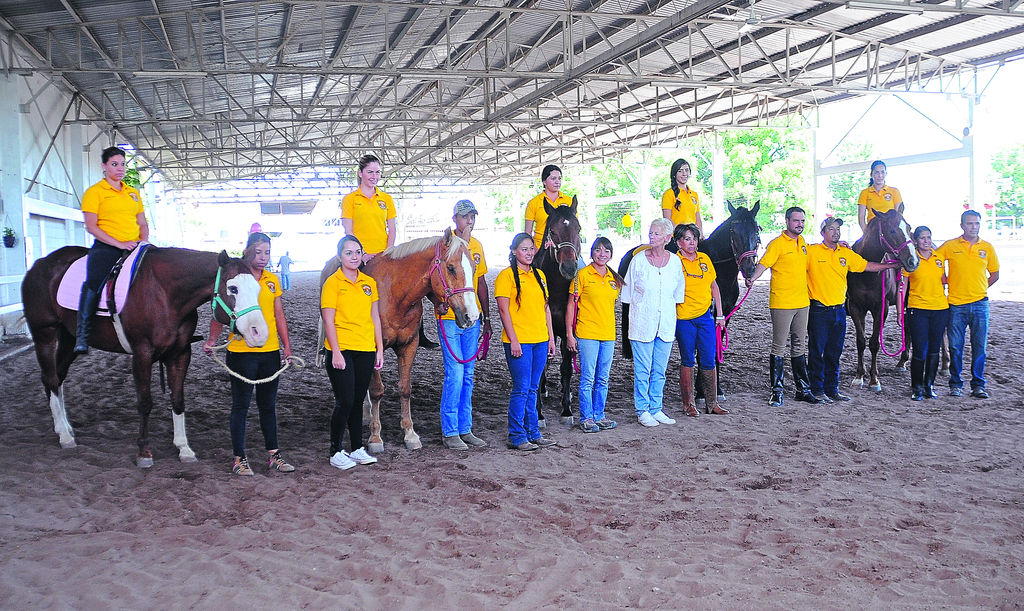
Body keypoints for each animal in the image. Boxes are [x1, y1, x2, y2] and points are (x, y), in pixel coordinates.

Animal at [21, 246, 267, 467]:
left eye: (257, 288)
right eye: (233, 288)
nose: (259, 332)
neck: (164, 293)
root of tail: (39, 265)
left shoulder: (180, 354)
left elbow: (178, 400)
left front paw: (184, 448)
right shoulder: (142, 354)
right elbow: (145, 402)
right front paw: (144, 452)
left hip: (69, 338)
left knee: (58, 377)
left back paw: (65, 426)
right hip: (44, 334)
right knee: (50, 378)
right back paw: (64, 435)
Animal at [319, 229, 479, 451]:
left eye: (474, 267)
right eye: (451, 268)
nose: (471, 316)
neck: (395, 294)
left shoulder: (408, 345)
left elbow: (405, 388)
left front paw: (410, 434)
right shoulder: (373, 349)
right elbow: (377, 391)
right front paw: (375, 438)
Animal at [616, 201, 762, 399]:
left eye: (756, 229)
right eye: (733, 231)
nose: (748, 269)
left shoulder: (724, 315)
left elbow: (715, 350)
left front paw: (716, 389)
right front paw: (702, 390)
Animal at [847, 204, 920, 391]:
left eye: (909, 228)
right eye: (892, 230)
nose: (913, 261)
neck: (867, 273)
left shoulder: (881, 307)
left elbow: (874, 343)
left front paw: (874, 379)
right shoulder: (855, 306)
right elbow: (860, 341)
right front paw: (859, 376)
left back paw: (902, 361)